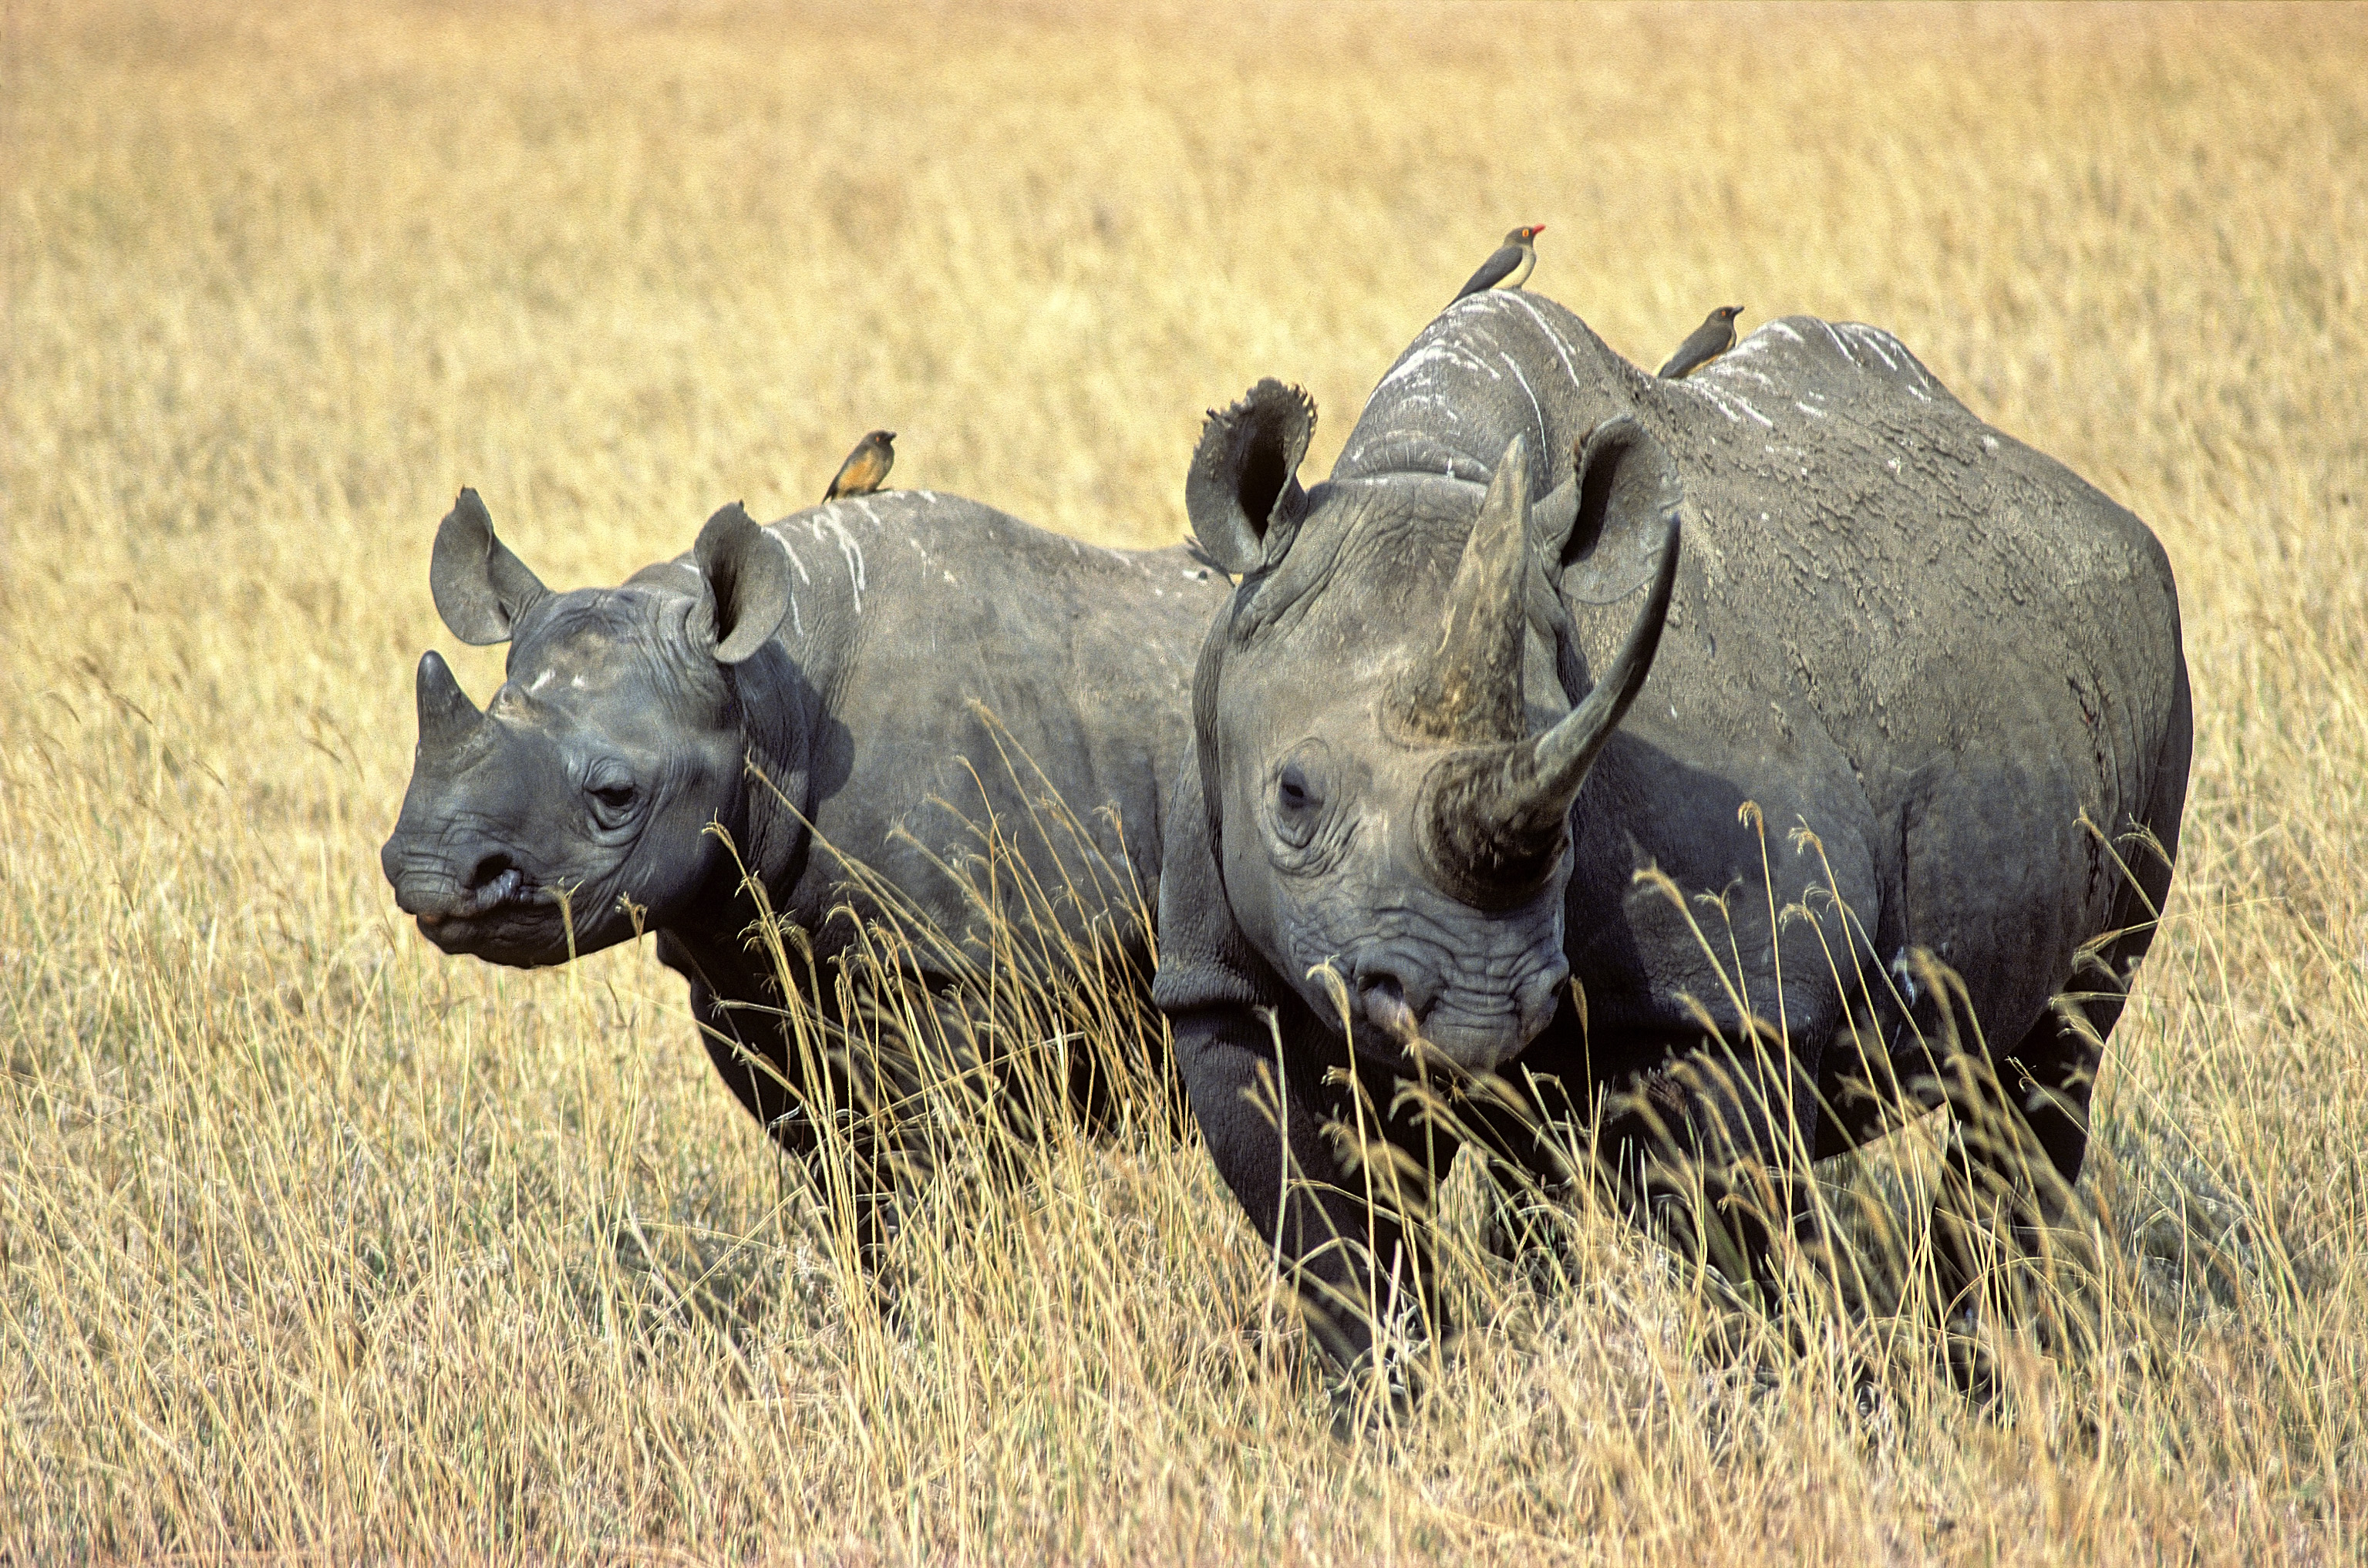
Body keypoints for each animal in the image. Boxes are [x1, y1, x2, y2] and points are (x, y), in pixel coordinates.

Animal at [382, 487, 1229, 1253]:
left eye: (616, 796)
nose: (426, 871)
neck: (766, 700)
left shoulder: (966, 962)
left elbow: (948, 1165)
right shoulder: (743, 964)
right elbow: (839, 1163)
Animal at [1155, 292, 2192, 1377]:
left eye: (1569, 811)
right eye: (1291, 796)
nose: (1474, 1016)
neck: (1432, 469)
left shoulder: (1733, 997)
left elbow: (1721, 1234)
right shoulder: (1224, 983)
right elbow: (1335, 1248)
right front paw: (1392, 1400)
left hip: (2152, 668)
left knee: (2056, 1045)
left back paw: (1986, 1361)